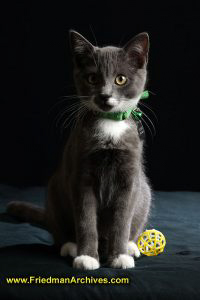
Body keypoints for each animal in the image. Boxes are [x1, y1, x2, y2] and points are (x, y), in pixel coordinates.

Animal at [7, 29, 152, 270]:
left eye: (120, 79)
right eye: (92, 78)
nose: (104, 95)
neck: (110, 126)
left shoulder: (129, 176)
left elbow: (122, 220)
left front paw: (119, 256)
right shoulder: (80, 173)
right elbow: (85, 219)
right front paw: (87, 257)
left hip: (145, 191)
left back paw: (131, 246)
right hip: (54, 189)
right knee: (60, 231)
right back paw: (70, 246)